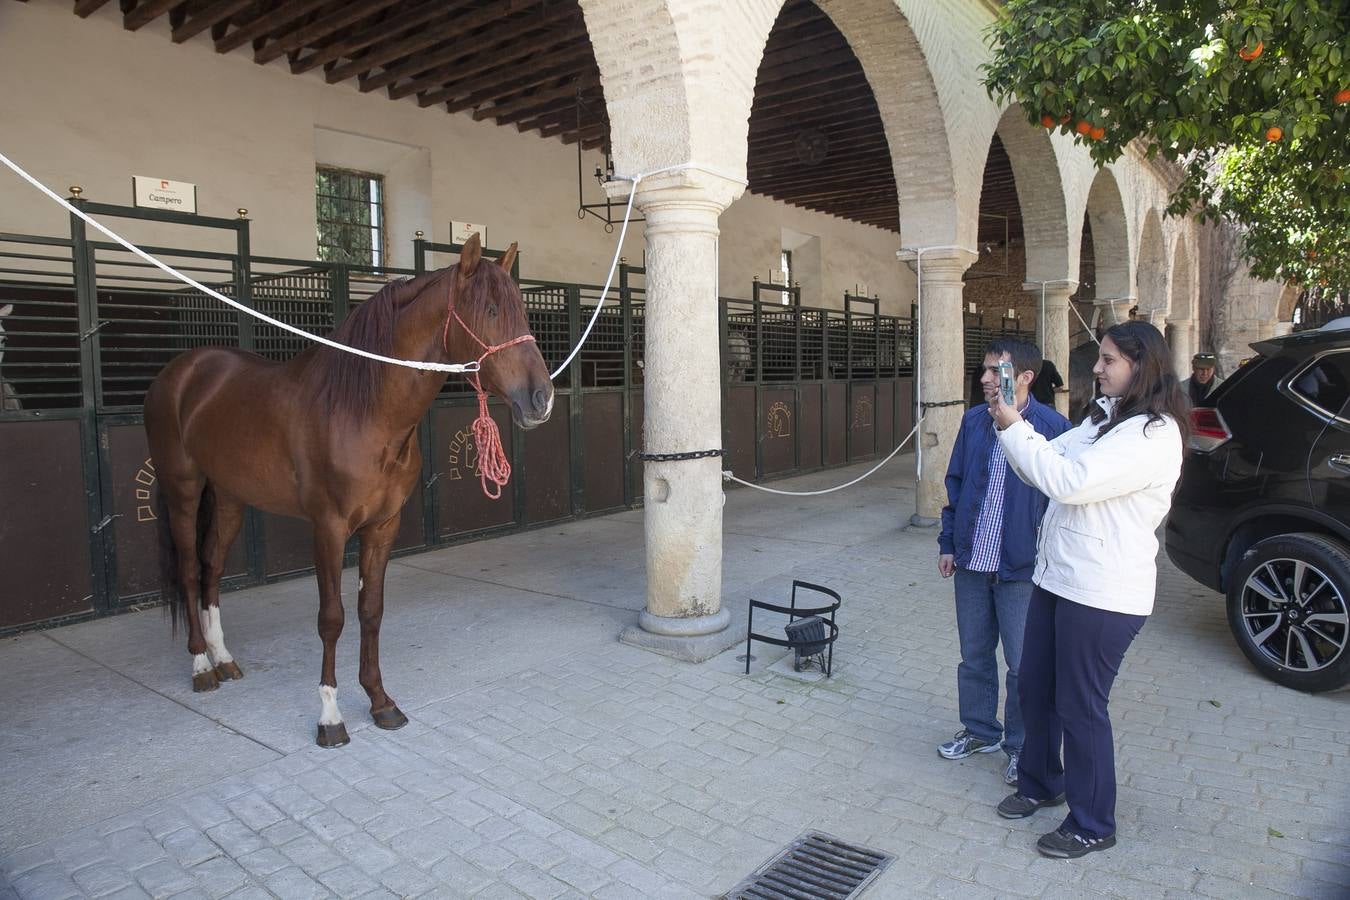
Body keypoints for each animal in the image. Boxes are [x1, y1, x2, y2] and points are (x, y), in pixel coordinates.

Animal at [146, 234, 548, 744]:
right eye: (492, 310)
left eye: (521, 310)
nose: (541, 399)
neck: (364, 411)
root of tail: (182, 370)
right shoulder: (329, 528)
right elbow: (332, 618)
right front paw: (330, 716)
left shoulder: (383, 526)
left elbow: (370, 611)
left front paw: (380, 702)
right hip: (182, 490)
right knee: (189, 570)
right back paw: (201, 666)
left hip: (231, 497)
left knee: (212, 567)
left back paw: (223, 658)